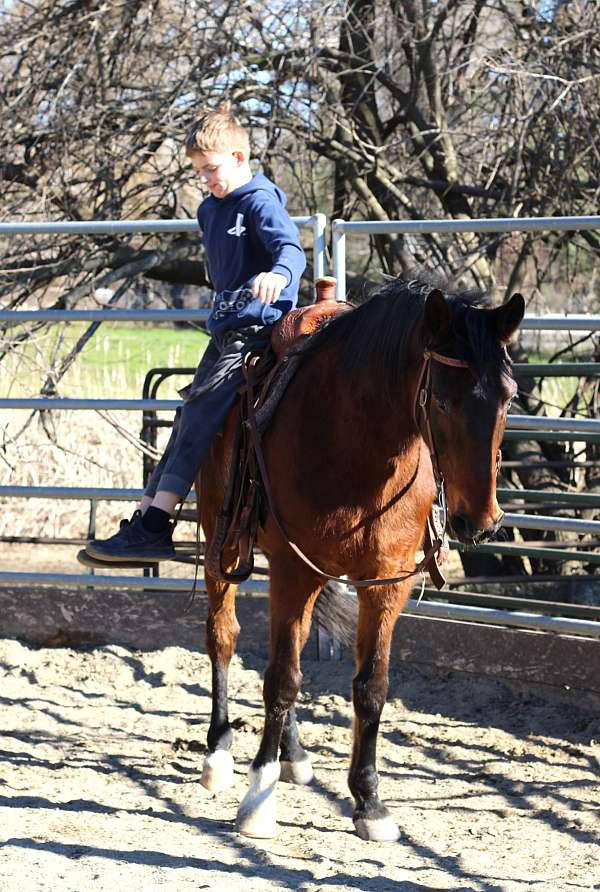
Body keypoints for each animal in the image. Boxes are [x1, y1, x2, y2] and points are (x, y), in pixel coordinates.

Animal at [198, 278, 524, 844]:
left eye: (509, 397)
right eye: (441, 400)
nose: (479, 520)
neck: (356, 445)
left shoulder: (384, 582)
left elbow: (370, 686)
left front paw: (370, 801)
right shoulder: (294, 569)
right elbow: (282, 678)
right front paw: (258, 800)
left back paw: (294, 754)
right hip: (223, 547)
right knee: (225, 636)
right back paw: (219, 753)